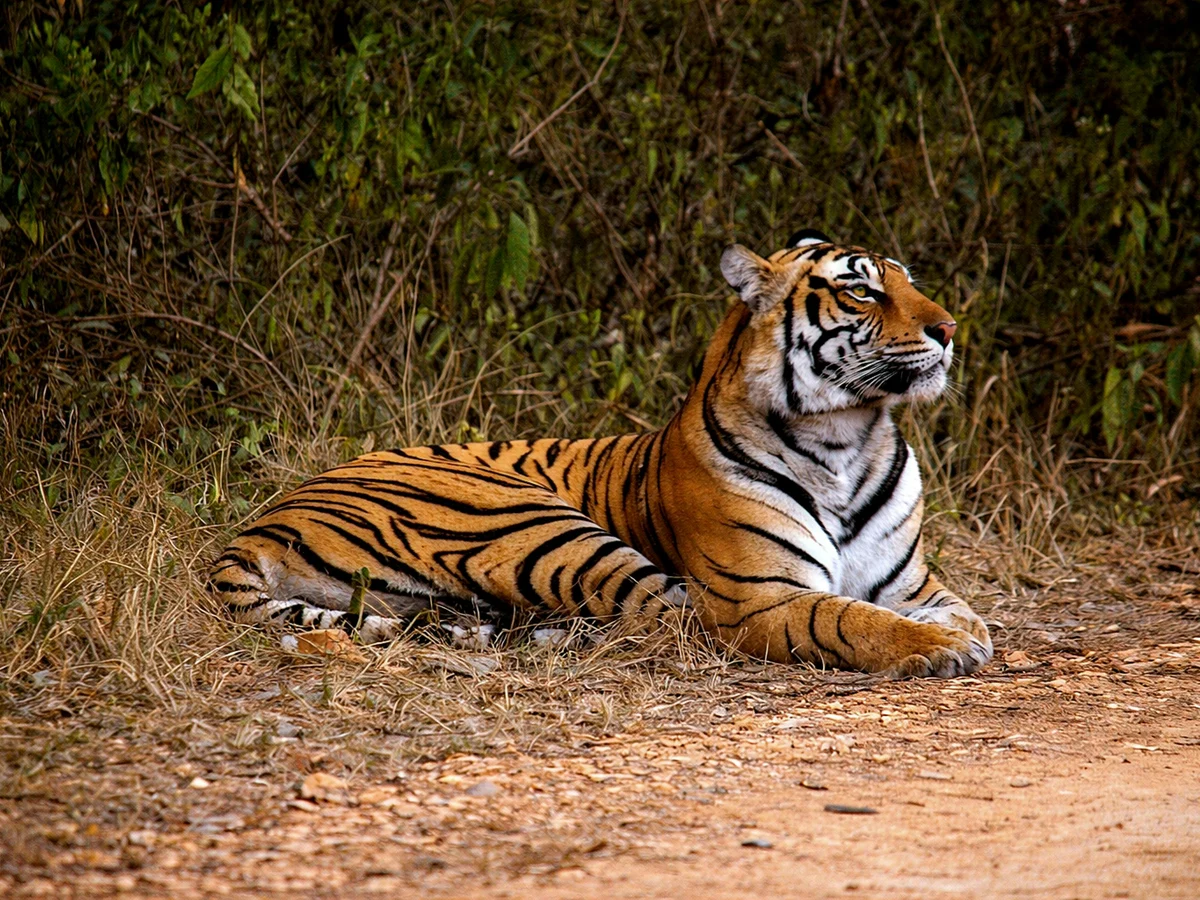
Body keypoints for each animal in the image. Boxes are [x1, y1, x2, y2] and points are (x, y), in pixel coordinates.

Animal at [209, 231, 993, 677]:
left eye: (910, 281)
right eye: (862, 290)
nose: (950, 328)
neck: (846, 439)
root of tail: (262, 521)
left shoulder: (912, 585)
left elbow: (960, 611)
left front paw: (962, 636)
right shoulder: (759, 596)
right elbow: (847, 616)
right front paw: (934, 651)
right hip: (536, 521)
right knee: (663, 616)